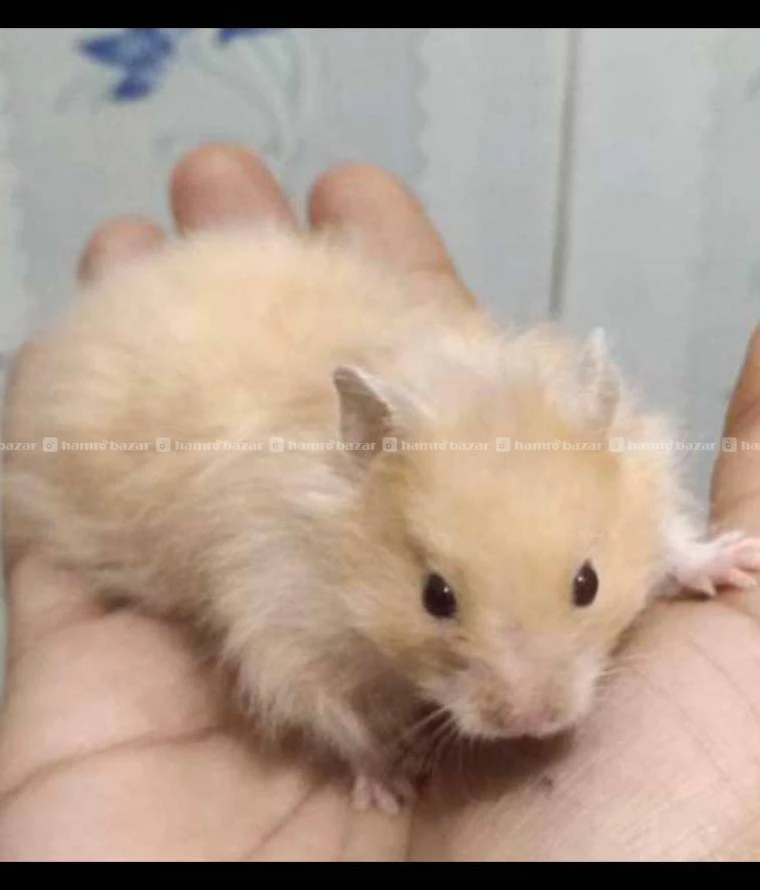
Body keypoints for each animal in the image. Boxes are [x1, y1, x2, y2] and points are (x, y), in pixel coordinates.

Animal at [5, 225, 760, 814]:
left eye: (587, 584)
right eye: (435, 597)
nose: (530, 722)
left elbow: (672, 539)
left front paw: (736, 562)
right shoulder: (281, 632)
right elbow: (343, 726)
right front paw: (393, 786)